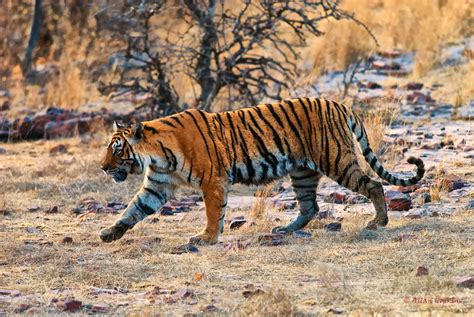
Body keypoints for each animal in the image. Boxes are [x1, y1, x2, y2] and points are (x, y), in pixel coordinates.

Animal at [100, 97, 426, 244]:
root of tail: (338, 103)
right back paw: (285, 229)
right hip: (303, 172)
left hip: (337, 160)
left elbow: (213, 212)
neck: (157, 155)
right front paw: (109, 232)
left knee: (373, 184)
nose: (102, 168)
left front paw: (206, 237)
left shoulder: (213, 180)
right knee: (310, 206)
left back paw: (378, 222)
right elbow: (133, 209)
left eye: (117, 149)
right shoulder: (157, 185)